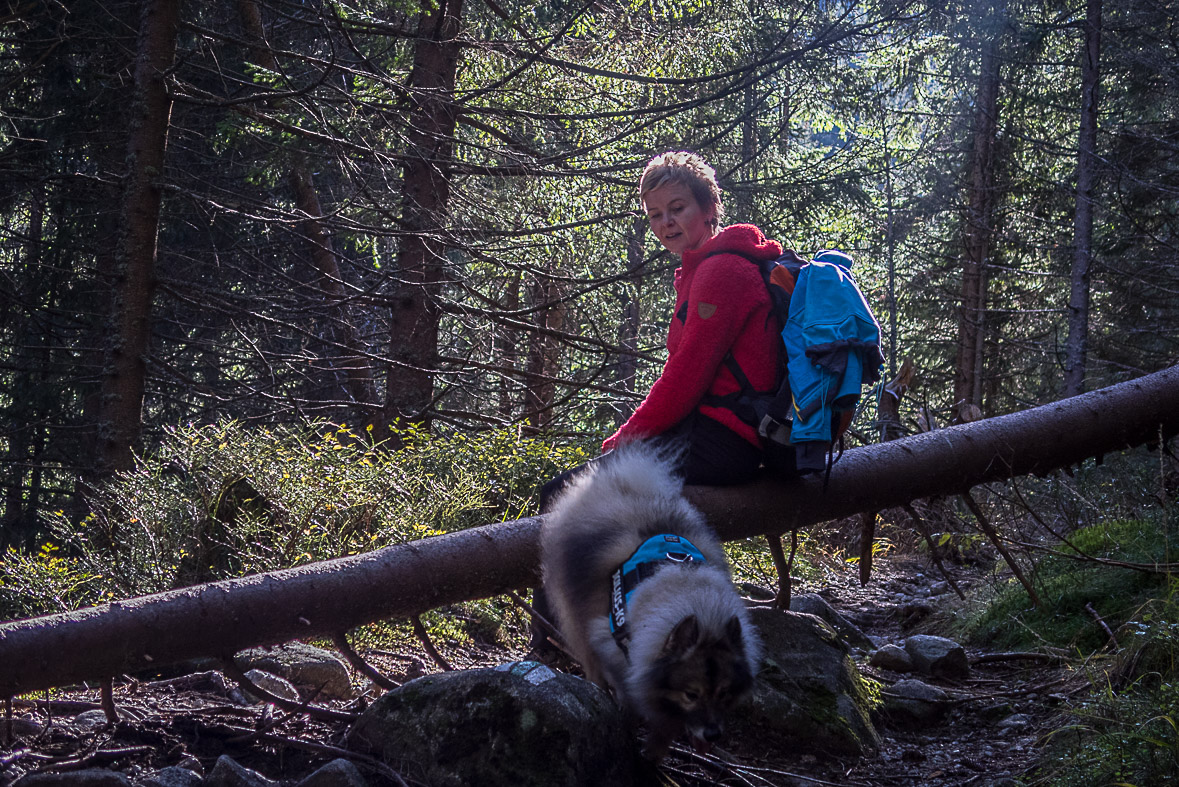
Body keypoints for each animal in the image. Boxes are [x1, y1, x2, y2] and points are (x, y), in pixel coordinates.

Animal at [539, 442, 759, 754]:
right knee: (590, 662)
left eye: (724, 693)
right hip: (576, 615)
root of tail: (622, 483)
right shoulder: (616, 653)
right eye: (691, 695)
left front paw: (652, 757)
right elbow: (629, 698)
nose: (713, 734)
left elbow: (662, 734)